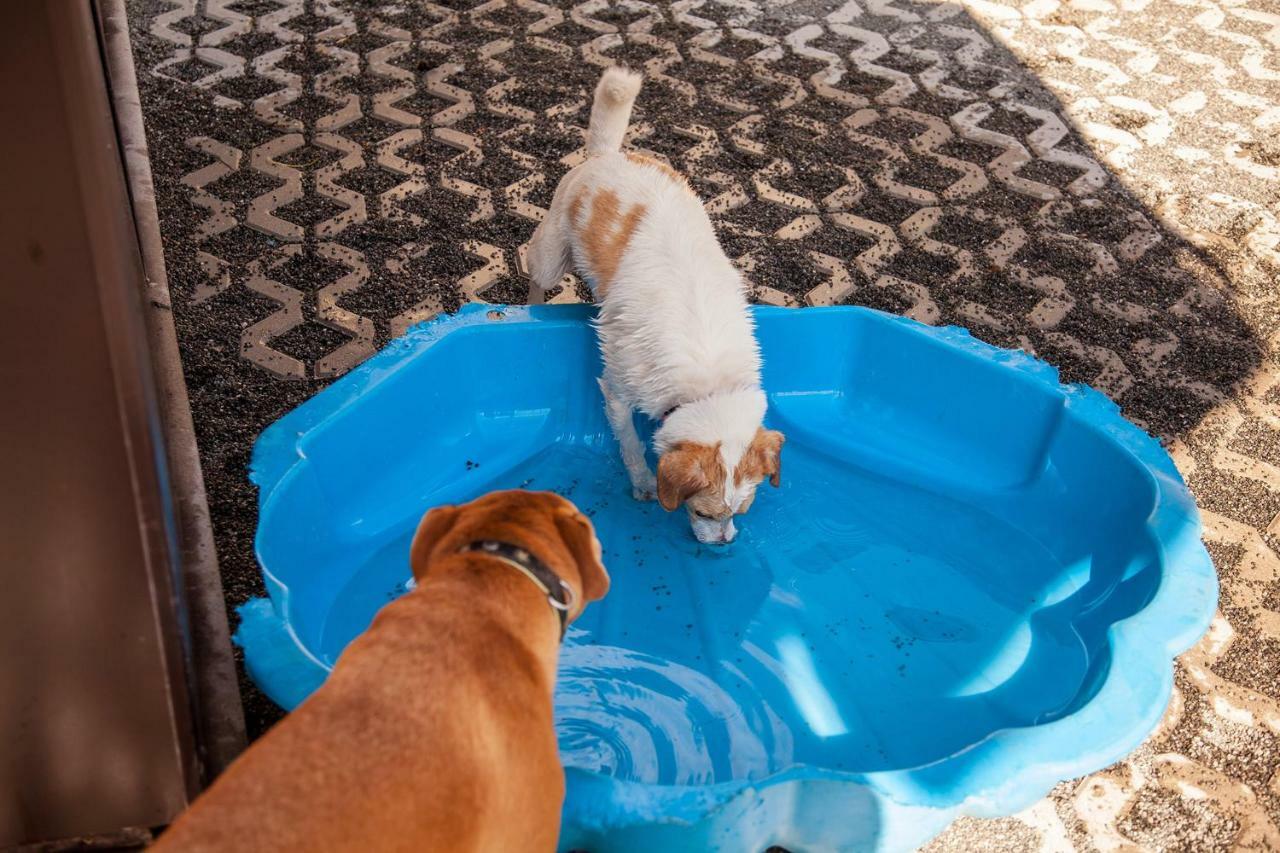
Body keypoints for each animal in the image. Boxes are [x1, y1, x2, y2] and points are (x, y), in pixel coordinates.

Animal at [527, 68, 783, 545]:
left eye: (743, 511)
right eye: (700, 511)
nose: (725, 544)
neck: (708, 384)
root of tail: (609, 155)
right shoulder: (616, 392)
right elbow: (629, 442)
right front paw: (644, 482)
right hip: (552, 256)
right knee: (535, 276)